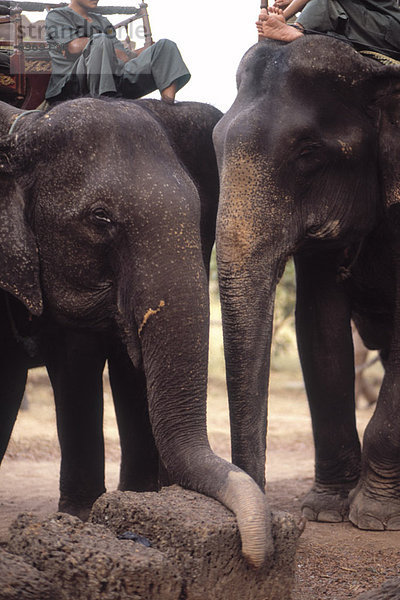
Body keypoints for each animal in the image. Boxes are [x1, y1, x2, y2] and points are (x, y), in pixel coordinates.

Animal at [0, 97, 272, 568]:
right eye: (100, 217)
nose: (257, 557)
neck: (28, 125)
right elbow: (73, 364)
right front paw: (81, 518)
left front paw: (129, 507)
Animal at [214, 35, 400, 528]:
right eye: (215, 143)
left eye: (309, 152)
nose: (269, 517)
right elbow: (319, 327)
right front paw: (323, 511)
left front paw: (374, 517)